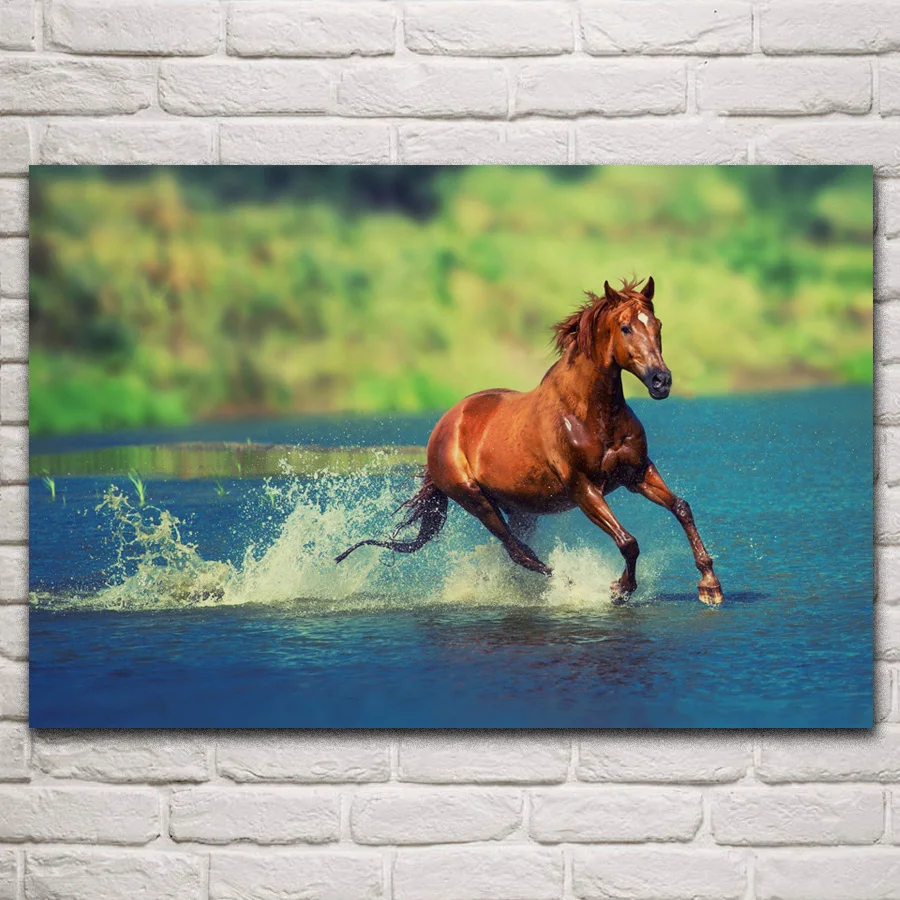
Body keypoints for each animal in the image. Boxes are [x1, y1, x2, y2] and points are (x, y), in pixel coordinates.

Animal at [336, 276, 724, 605]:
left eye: (657, 326)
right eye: (625, 327)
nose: (661, 381)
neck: (591, 414)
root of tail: (443, 428)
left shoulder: (636, 472)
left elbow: (681, 508)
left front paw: (710, 586)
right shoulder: (583, 487)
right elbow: (628, 542)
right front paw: (619, 589)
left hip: (519, 506)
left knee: (518, 550)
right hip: (475, 500)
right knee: (519, 551)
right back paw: (569, 584)